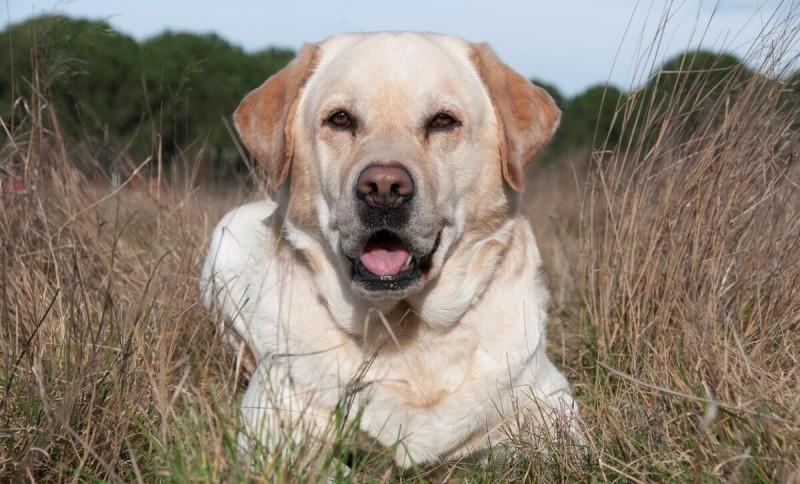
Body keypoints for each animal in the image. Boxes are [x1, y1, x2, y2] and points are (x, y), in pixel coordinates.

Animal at [203, 32, 580, 466]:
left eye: (443, 121)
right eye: (340, 119)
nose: (383, 188)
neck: (405, 331)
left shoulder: (555, 407)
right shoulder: (268, 431)